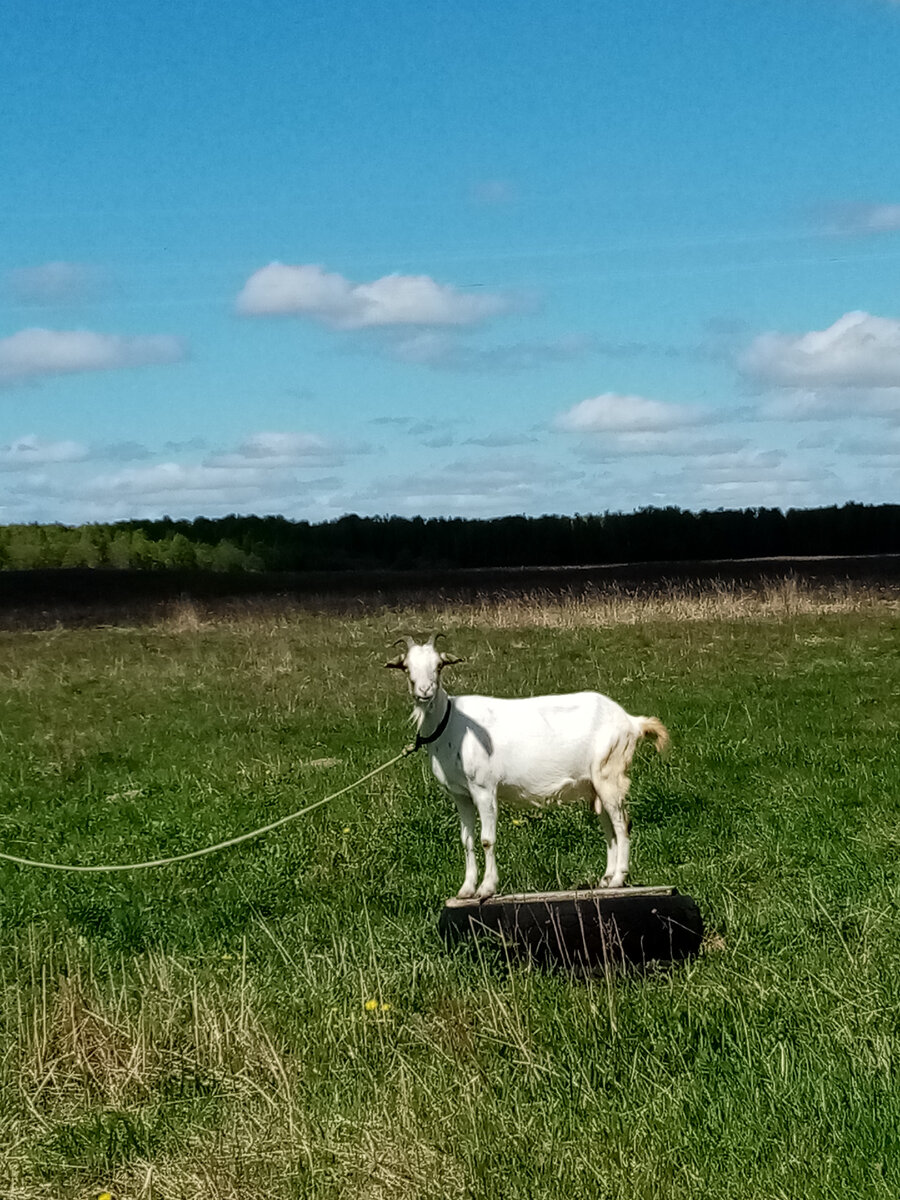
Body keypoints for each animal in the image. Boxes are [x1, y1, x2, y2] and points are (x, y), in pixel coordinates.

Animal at [388, 638, 672, 902]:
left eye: (438, 666)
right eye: (407, 667)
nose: (424, 691)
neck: (450, 724)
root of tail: (632, 722)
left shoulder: (484, 788)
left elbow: (486, 839)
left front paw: (487, 888)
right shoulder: (460, 794)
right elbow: (466, 840)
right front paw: (466, 890)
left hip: (610, 774)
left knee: (622, 824)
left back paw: (619, 879)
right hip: (595, 785)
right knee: (609, 827)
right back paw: (606, 879)